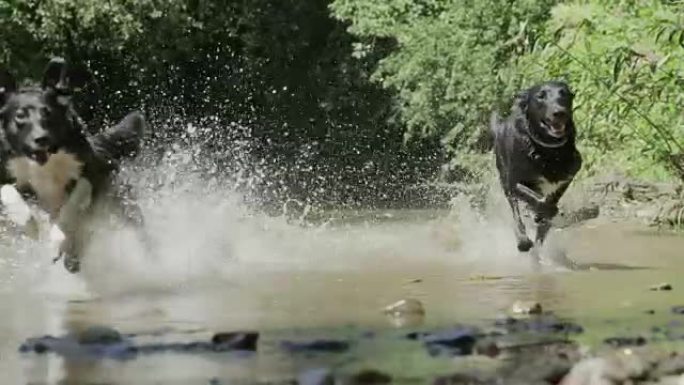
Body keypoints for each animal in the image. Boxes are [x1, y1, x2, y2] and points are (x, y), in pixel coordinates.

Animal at [0, 56, 148, 272]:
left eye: (47, 113)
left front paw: (55, 240)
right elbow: (8, 192)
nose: (41, 139)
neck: (47, 163)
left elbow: (71, 206)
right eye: (20, 115)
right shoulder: (14, 178)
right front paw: (28, 224)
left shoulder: (92, 174)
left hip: (123, 211)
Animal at [492, 81, 584, 254]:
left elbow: (549, 202)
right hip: (505, 181)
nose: (559, 112)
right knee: (516, 213)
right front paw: (544, 212)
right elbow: (539, 201)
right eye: (540, 96)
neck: (549, 152)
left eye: (564, 94)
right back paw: (523, 241)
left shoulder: (567, 177)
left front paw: (543, 215)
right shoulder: (514, 183)